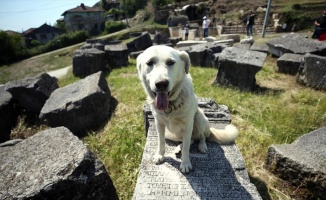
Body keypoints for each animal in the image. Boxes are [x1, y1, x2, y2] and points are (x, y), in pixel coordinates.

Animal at [136, 45, 238, 173]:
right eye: (149, 63)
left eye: (171, 62)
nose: (161, 84)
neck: (170, 106)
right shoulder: (159, 124)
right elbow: (161, 142)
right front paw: (160, 155)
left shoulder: (188, 125)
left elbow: (186, 148)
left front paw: (185, 164)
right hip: (170, 134)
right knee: (190, 140)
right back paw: (178, 147)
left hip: (199, 119)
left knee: (201, 137)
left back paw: (202, 146)